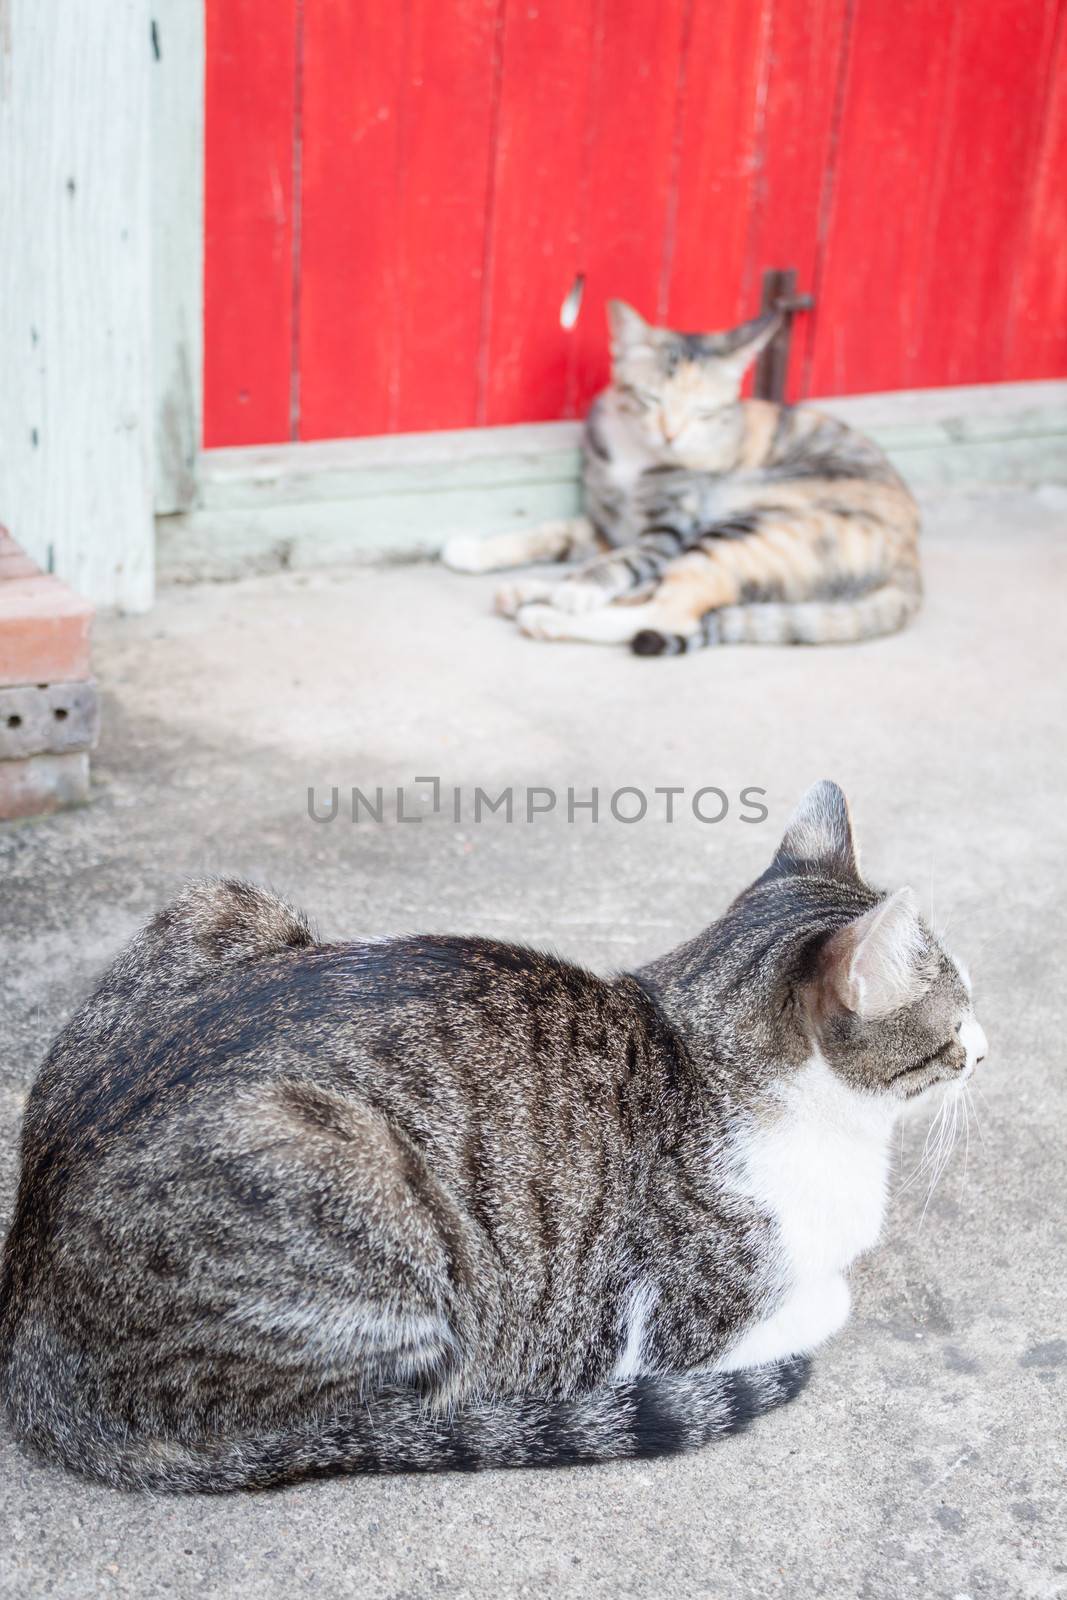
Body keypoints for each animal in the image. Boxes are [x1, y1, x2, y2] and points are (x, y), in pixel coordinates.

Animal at [0, 780, 985, 1491]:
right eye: (958, 1013)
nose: (988, 1045)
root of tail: (25, 1333)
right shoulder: (678, 1328)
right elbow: (828, 1299)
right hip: (352, 1174)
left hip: (221, 902)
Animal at [438, 302, 921, 652]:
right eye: (650, 399)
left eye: (703, 412)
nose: (671, 434)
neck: (635, 456)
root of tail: (911, 561)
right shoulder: (609, 523)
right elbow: (553, 533)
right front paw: (474, 551)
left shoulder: (667, 531)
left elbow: (620, 563)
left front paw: (576, 593)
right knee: (655, 593)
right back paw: (531, 591)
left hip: (747, 526)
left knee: (672, 611)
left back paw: (547, 615)